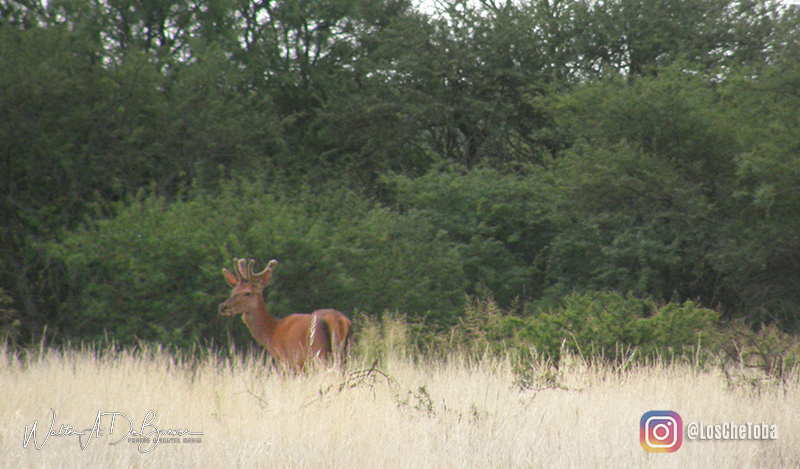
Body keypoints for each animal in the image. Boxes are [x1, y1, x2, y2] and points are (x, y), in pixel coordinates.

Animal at [220, 258, 354, 372]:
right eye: (233, 291)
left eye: (248, 293)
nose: (223, 306)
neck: (271, 333)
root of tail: (338, 320)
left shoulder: (285, 360)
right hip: (346, 352)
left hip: (319, 351)